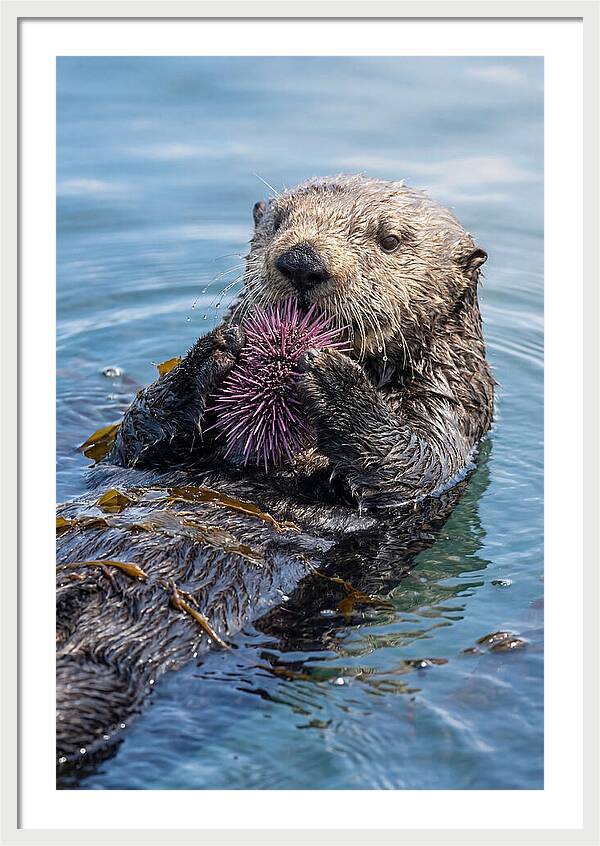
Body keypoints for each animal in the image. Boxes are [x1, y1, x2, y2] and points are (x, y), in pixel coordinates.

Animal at [56, 175, 494, 773]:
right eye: (280, 222)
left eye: (389, 240)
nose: (302, 261)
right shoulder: (140, 450)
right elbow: (134, 439)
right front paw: (213, 351)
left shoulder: (453, 414)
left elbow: (413, 465)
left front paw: (334, 379)